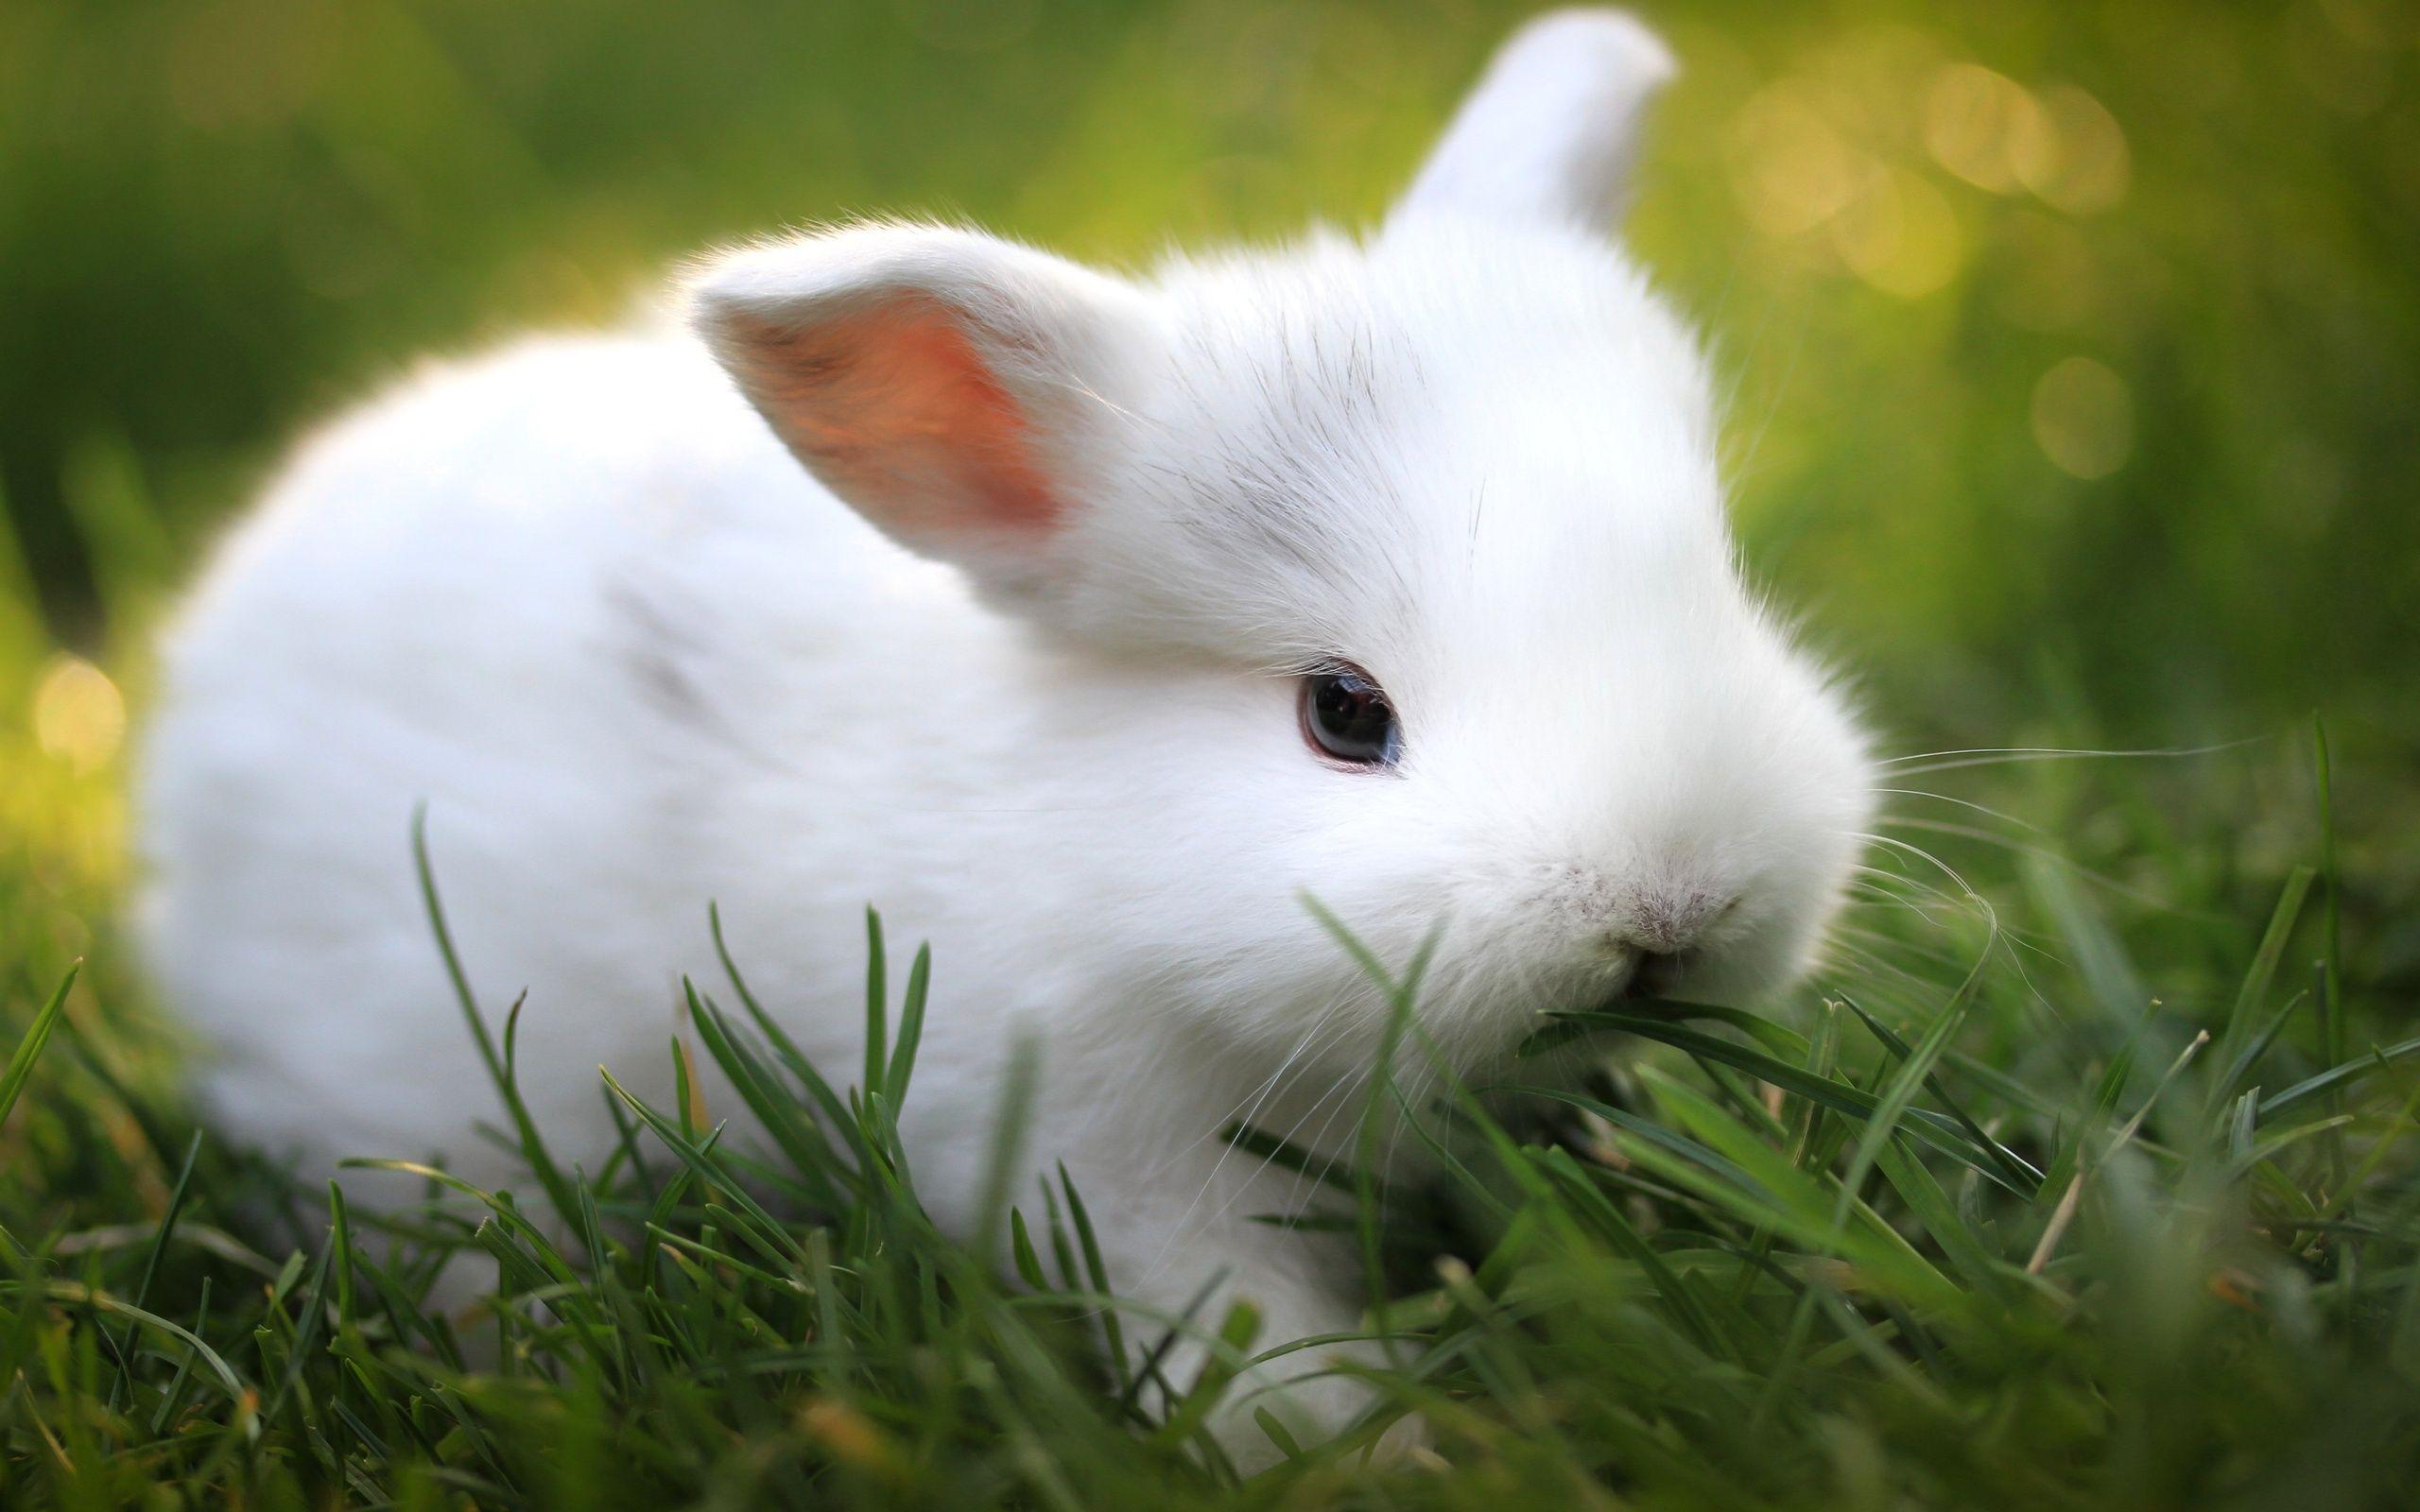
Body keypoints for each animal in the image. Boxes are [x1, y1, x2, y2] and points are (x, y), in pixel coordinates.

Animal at [138, 7, 1872, 1463]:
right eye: (1342, 713)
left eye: (1719, 583)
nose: (1673, 908)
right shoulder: (1101, 1160)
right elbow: (1237, 1335)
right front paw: (1370, 1456)